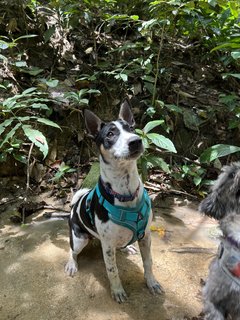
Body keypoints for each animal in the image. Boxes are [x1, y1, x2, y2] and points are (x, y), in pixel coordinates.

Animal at [64, 97, 164, 302]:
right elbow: (112, 270)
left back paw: (127, 248)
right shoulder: (108, 246)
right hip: (79, 239)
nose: (136, 141)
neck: (125, 191)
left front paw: (151, 282)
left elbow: (148, 262)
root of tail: (74, 206)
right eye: (110, 134)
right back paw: (72, 264)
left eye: (132, 129)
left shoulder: (146, 236)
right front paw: (117, 290)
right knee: (71, 250)